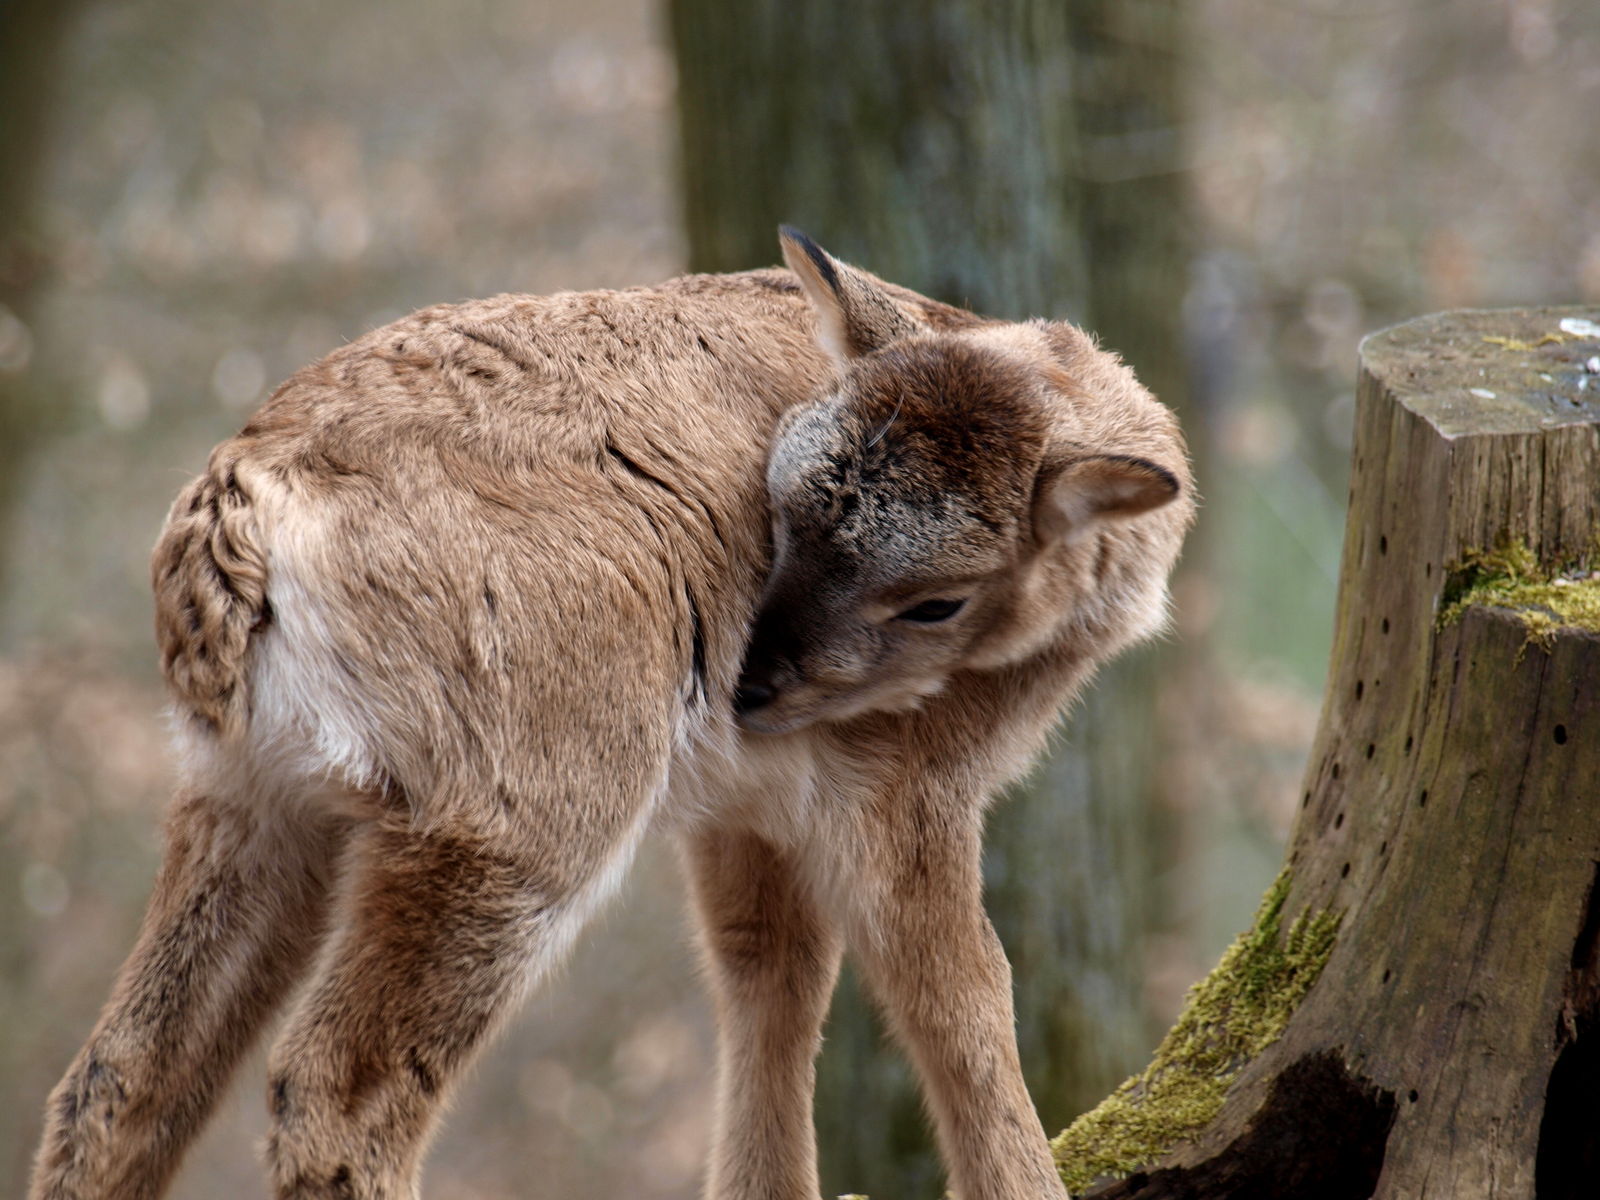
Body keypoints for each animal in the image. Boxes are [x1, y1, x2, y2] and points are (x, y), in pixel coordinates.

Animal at [30, 228, 1192, 1200]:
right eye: (779, 509)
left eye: (936, 598)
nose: (749, 689)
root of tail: (234, 508)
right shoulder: (907, 785)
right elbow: (965, 1001)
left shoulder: (746, 802)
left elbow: (772, 978)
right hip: (522, 802)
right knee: (336, 1089)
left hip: (246, 792)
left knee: (116, 1078)